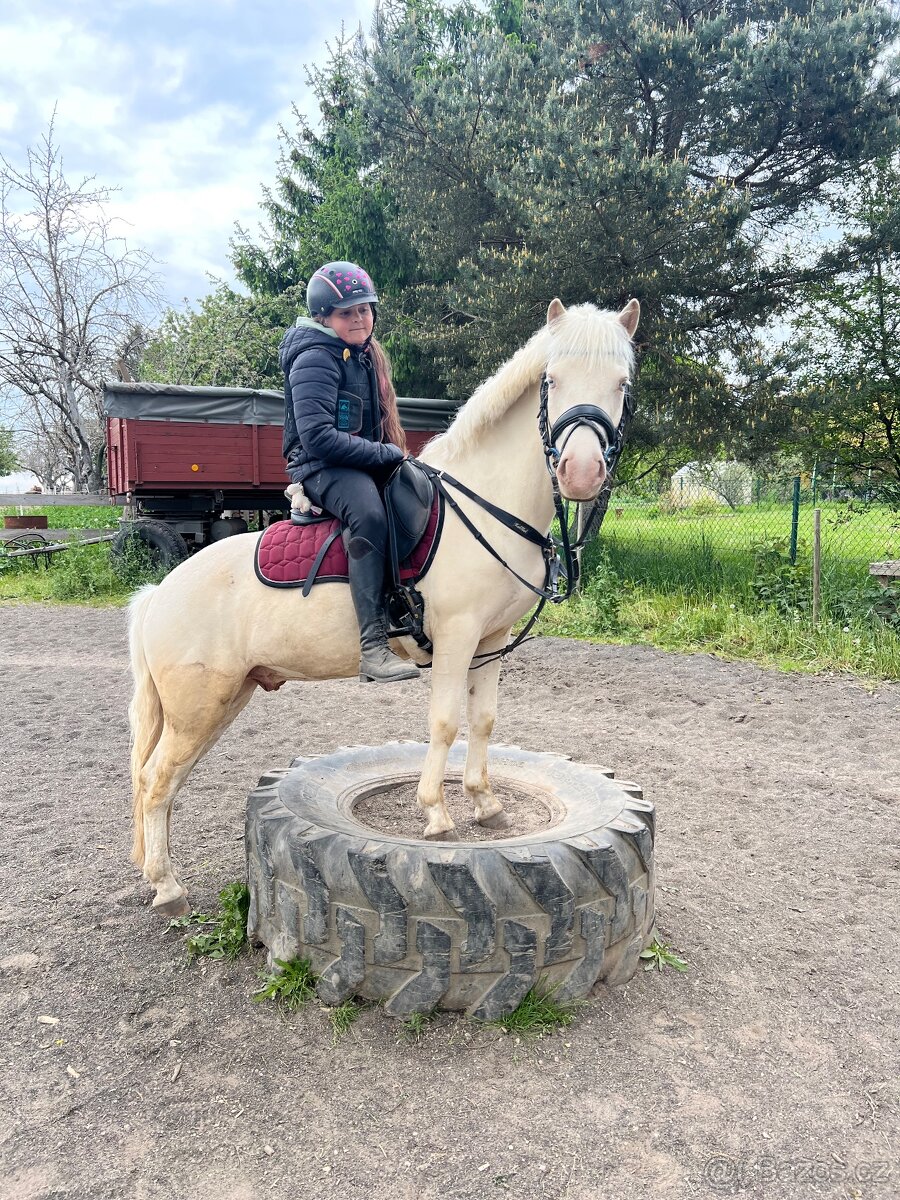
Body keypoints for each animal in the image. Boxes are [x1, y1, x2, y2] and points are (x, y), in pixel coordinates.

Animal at [128, 298, 640, 916]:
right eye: (553, 379)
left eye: (621, 383)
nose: (581, 473)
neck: (485, 507)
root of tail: (159, 594)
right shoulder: (457, 638)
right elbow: (445, 722)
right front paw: (437, 813)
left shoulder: (491, 643)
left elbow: (484, 721)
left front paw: (485, 802)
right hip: (198, 706)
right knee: (156, 782)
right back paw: (166, 886)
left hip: (222, 700)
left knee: (161, 782)